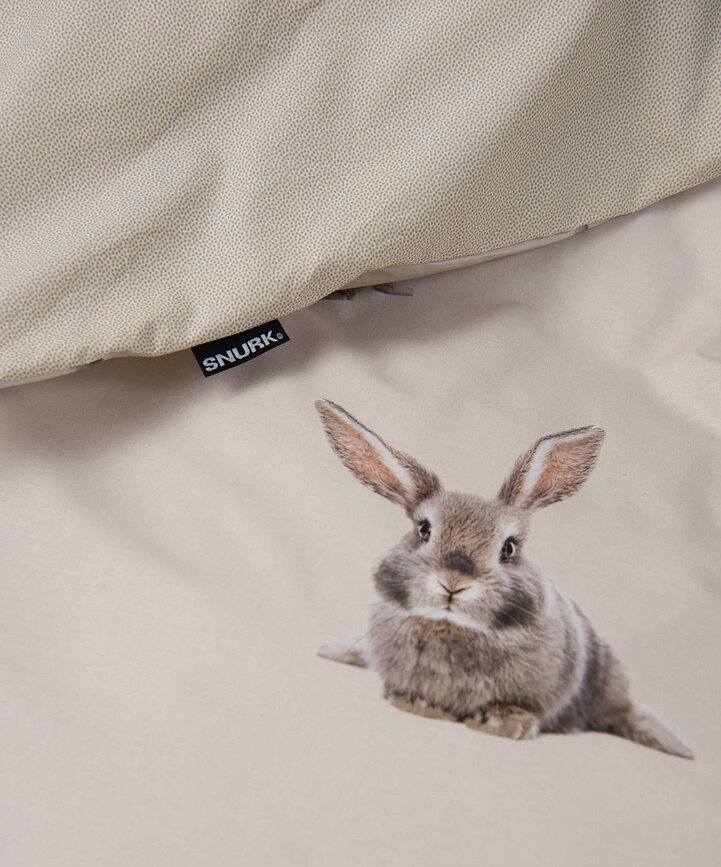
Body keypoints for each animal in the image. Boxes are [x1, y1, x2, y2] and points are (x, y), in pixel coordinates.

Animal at [315, 399, 693, 759]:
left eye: (509, 548)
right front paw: (418, 704)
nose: (454, 583)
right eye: (423, 530)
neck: (454, 627)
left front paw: (503, 723)